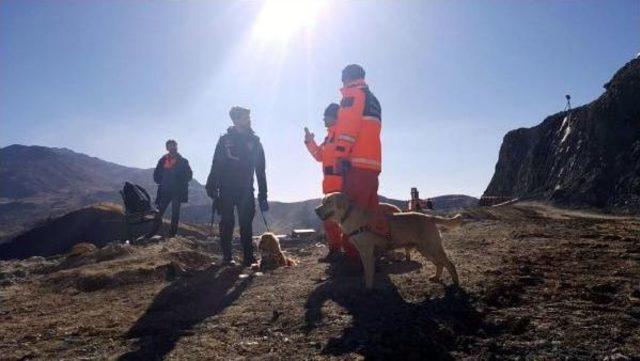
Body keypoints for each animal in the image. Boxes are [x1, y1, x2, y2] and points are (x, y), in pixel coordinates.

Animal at [316, 193, 460, 288]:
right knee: (440, 264)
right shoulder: (366, 253)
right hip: (425, 249)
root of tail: (430, 217)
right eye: (323, 201)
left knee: (450, 264)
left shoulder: (367, 252)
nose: (315, 210)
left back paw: (456, 283)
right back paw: (436, 278)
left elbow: (368, 272)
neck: (349, 215)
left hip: (432, 247)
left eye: (328, 202)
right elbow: (368, 271)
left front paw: (368, 289)